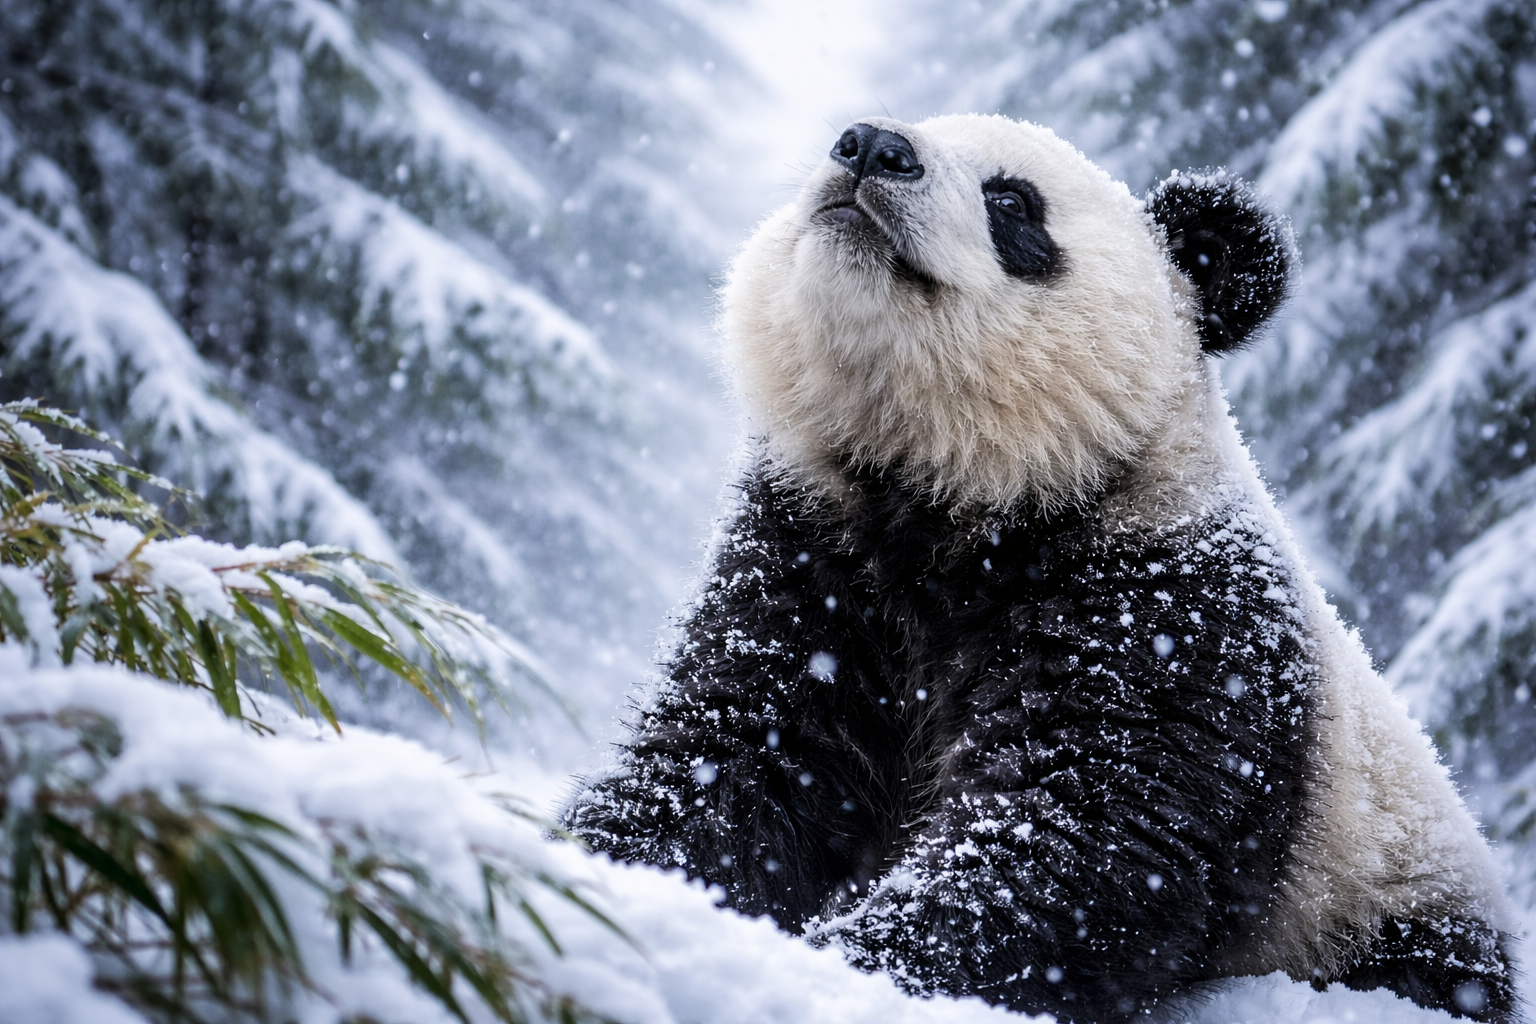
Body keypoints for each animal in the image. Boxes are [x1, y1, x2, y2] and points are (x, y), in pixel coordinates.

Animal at [564, 114, 1518, 1023]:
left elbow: (1079, 836)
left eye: (1012, 201)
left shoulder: (1168, 609)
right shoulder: (813, 554)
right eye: (852, 138)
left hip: (1387, 901)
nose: (871, 146)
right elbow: (733, 756)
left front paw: (837, 973)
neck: (958, 494)